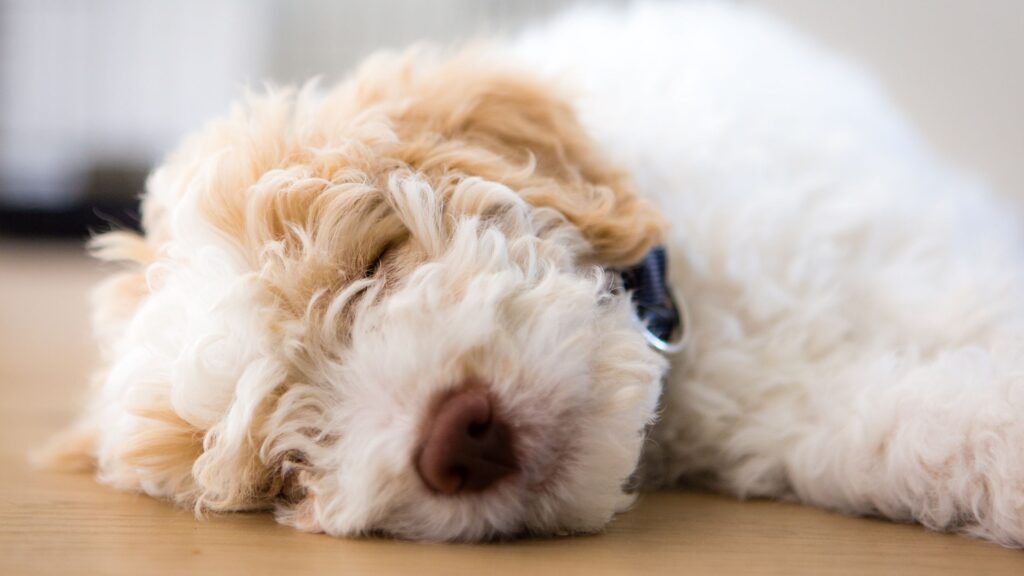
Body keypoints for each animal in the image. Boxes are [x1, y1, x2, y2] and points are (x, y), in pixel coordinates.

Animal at [46, 3, 1024, 541]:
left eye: (376, 262)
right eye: (285, 471)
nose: (456, 438)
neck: (693, 324)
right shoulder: (794, 414)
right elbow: (922, 429)